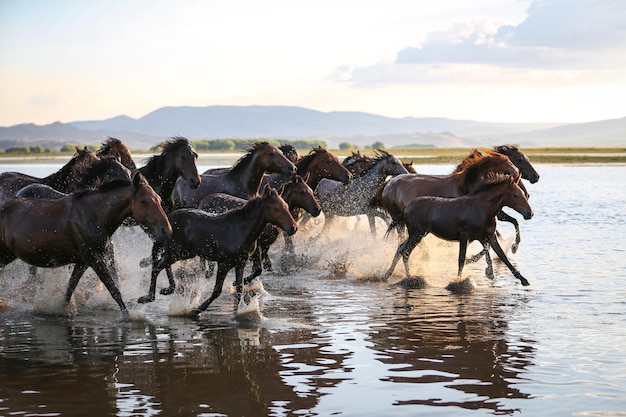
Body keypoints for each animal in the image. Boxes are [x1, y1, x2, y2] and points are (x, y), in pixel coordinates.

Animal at [0, 174, 171, 316]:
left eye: (159, 199)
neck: (92, 215)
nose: (166, 230)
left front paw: (63, 310)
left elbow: (69, 290)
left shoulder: (83, 262)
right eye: (144, 201)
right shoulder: (95, 259)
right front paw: (128, 315)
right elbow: (113, 288)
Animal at [138, 184, 298, 314]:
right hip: (176, 253)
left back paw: (167, 289)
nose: (293, 227)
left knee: (160, 264)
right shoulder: (224, 263)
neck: (240, 230)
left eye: (286, 205)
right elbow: (217, 290)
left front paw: (242, 309)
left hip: (183, 253)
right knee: (156, 267)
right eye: (276, 208)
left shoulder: (241, 263)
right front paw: (197, 309)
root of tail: (169, 220)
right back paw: (148, 297)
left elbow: (240, 287)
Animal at [380, 173, 532, 286]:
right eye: (515, 195)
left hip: (417, 234)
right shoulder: (465, 236)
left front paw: (524, 280)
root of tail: (406, 207)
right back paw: (409, 277)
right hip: (417, 234)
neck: (482, 209)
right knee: (405, 251)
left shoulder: (488, 236)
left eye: (522, 194)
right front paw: (458, 280)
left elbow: (502, 256)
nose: (529, 213)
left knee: (401, 248)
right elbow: (461, 258)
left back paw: (389, 275)